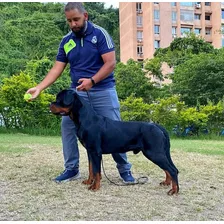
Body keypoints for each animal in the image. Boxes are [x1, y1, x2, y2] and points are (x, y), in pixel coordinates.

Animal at [50, 89, 179, 194]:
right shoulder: (90, 151)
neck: (85, 119)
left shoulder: (95, 152)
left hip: (154, 152)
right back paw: (167, 183)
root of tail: (157, 126)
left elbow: (96, 171)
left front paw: (95, 187)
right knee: (168, 169)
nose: (50, 104)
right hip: (158, 153)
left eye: (59, 99)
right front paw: (88, 181)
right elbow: (91, 169)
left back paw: (174, 190)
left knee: (172, 170)